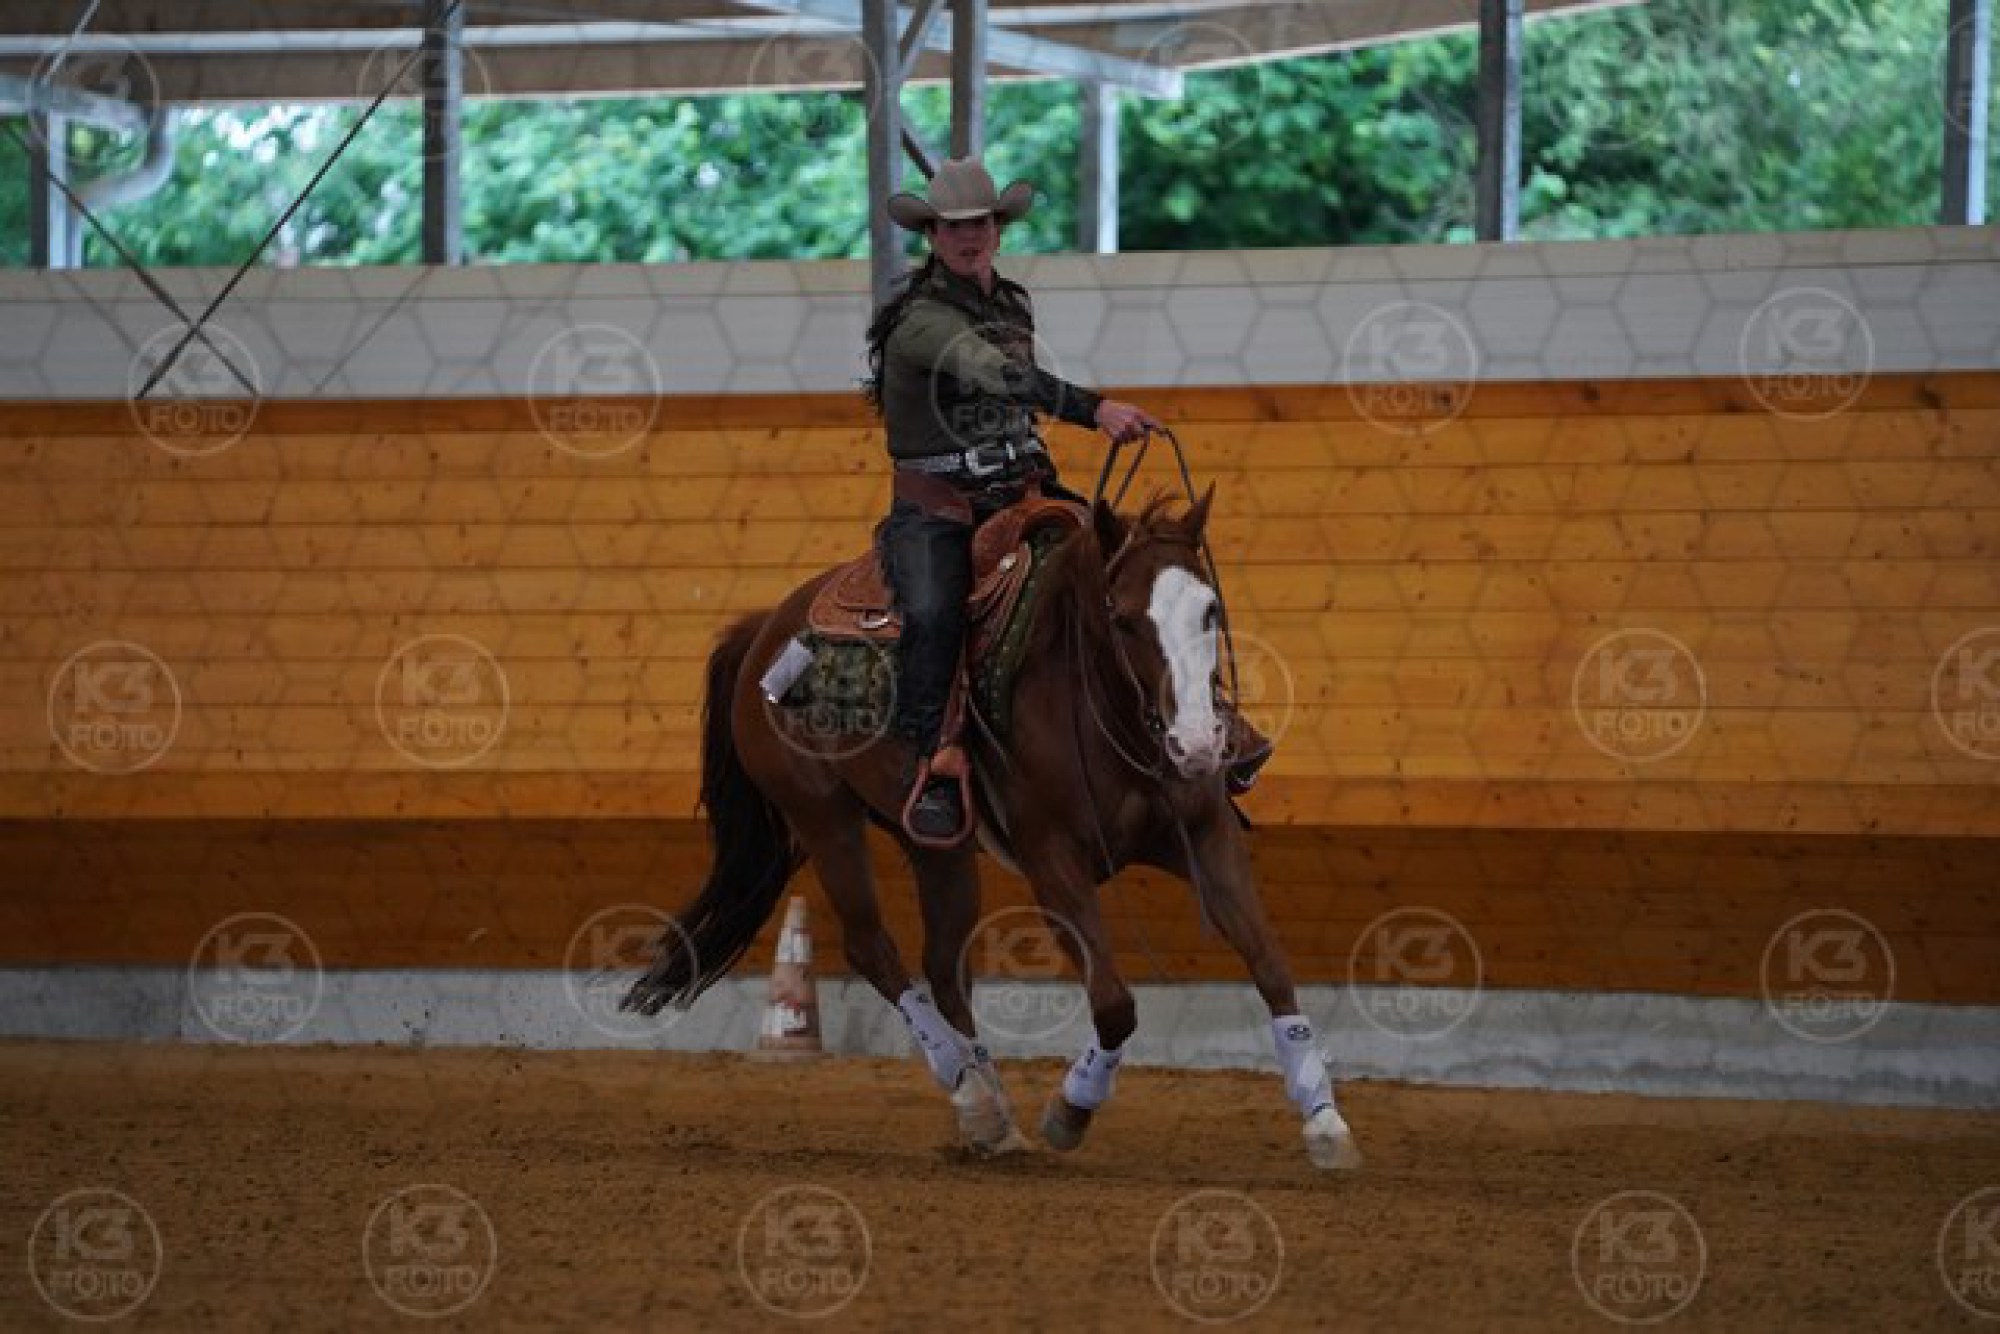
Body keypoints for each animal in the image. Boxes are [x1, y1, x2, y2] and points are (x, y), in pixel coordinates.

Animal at [623, 486, 1361, 1171]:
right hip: (824, 819)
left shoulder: (1206, 836)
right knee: (873, 949)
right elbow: (1115, 1004)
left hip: (936, 846)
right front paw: (1071, 1109)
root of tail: (762, 629)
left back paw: (992, 1112)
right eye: (1122, 618)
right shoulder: (1053, 859)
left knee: (944, 968)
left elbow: (1270, 964)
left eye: (1209, 609)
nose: (1201, 742)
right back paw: (973, 1098)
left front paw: (1324, 1120)